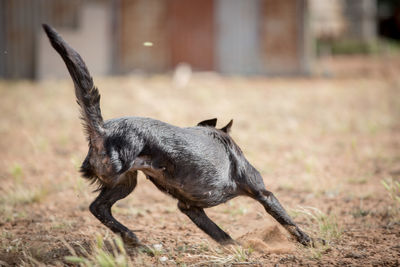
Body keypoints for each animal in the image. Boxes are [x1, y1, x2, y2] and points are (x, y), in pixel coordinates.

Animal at [44, 24, 312, 248]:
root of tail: (103, 130)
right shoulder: (262, 192)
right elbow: (286, 219)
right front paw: (307, 240)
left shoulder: (190, 208)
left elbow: (221, 234)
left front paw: (237, 249)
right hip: (121, 175)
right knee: (99, 207)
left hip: (125, 183)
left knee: (98, 208)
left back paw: (131, 238)